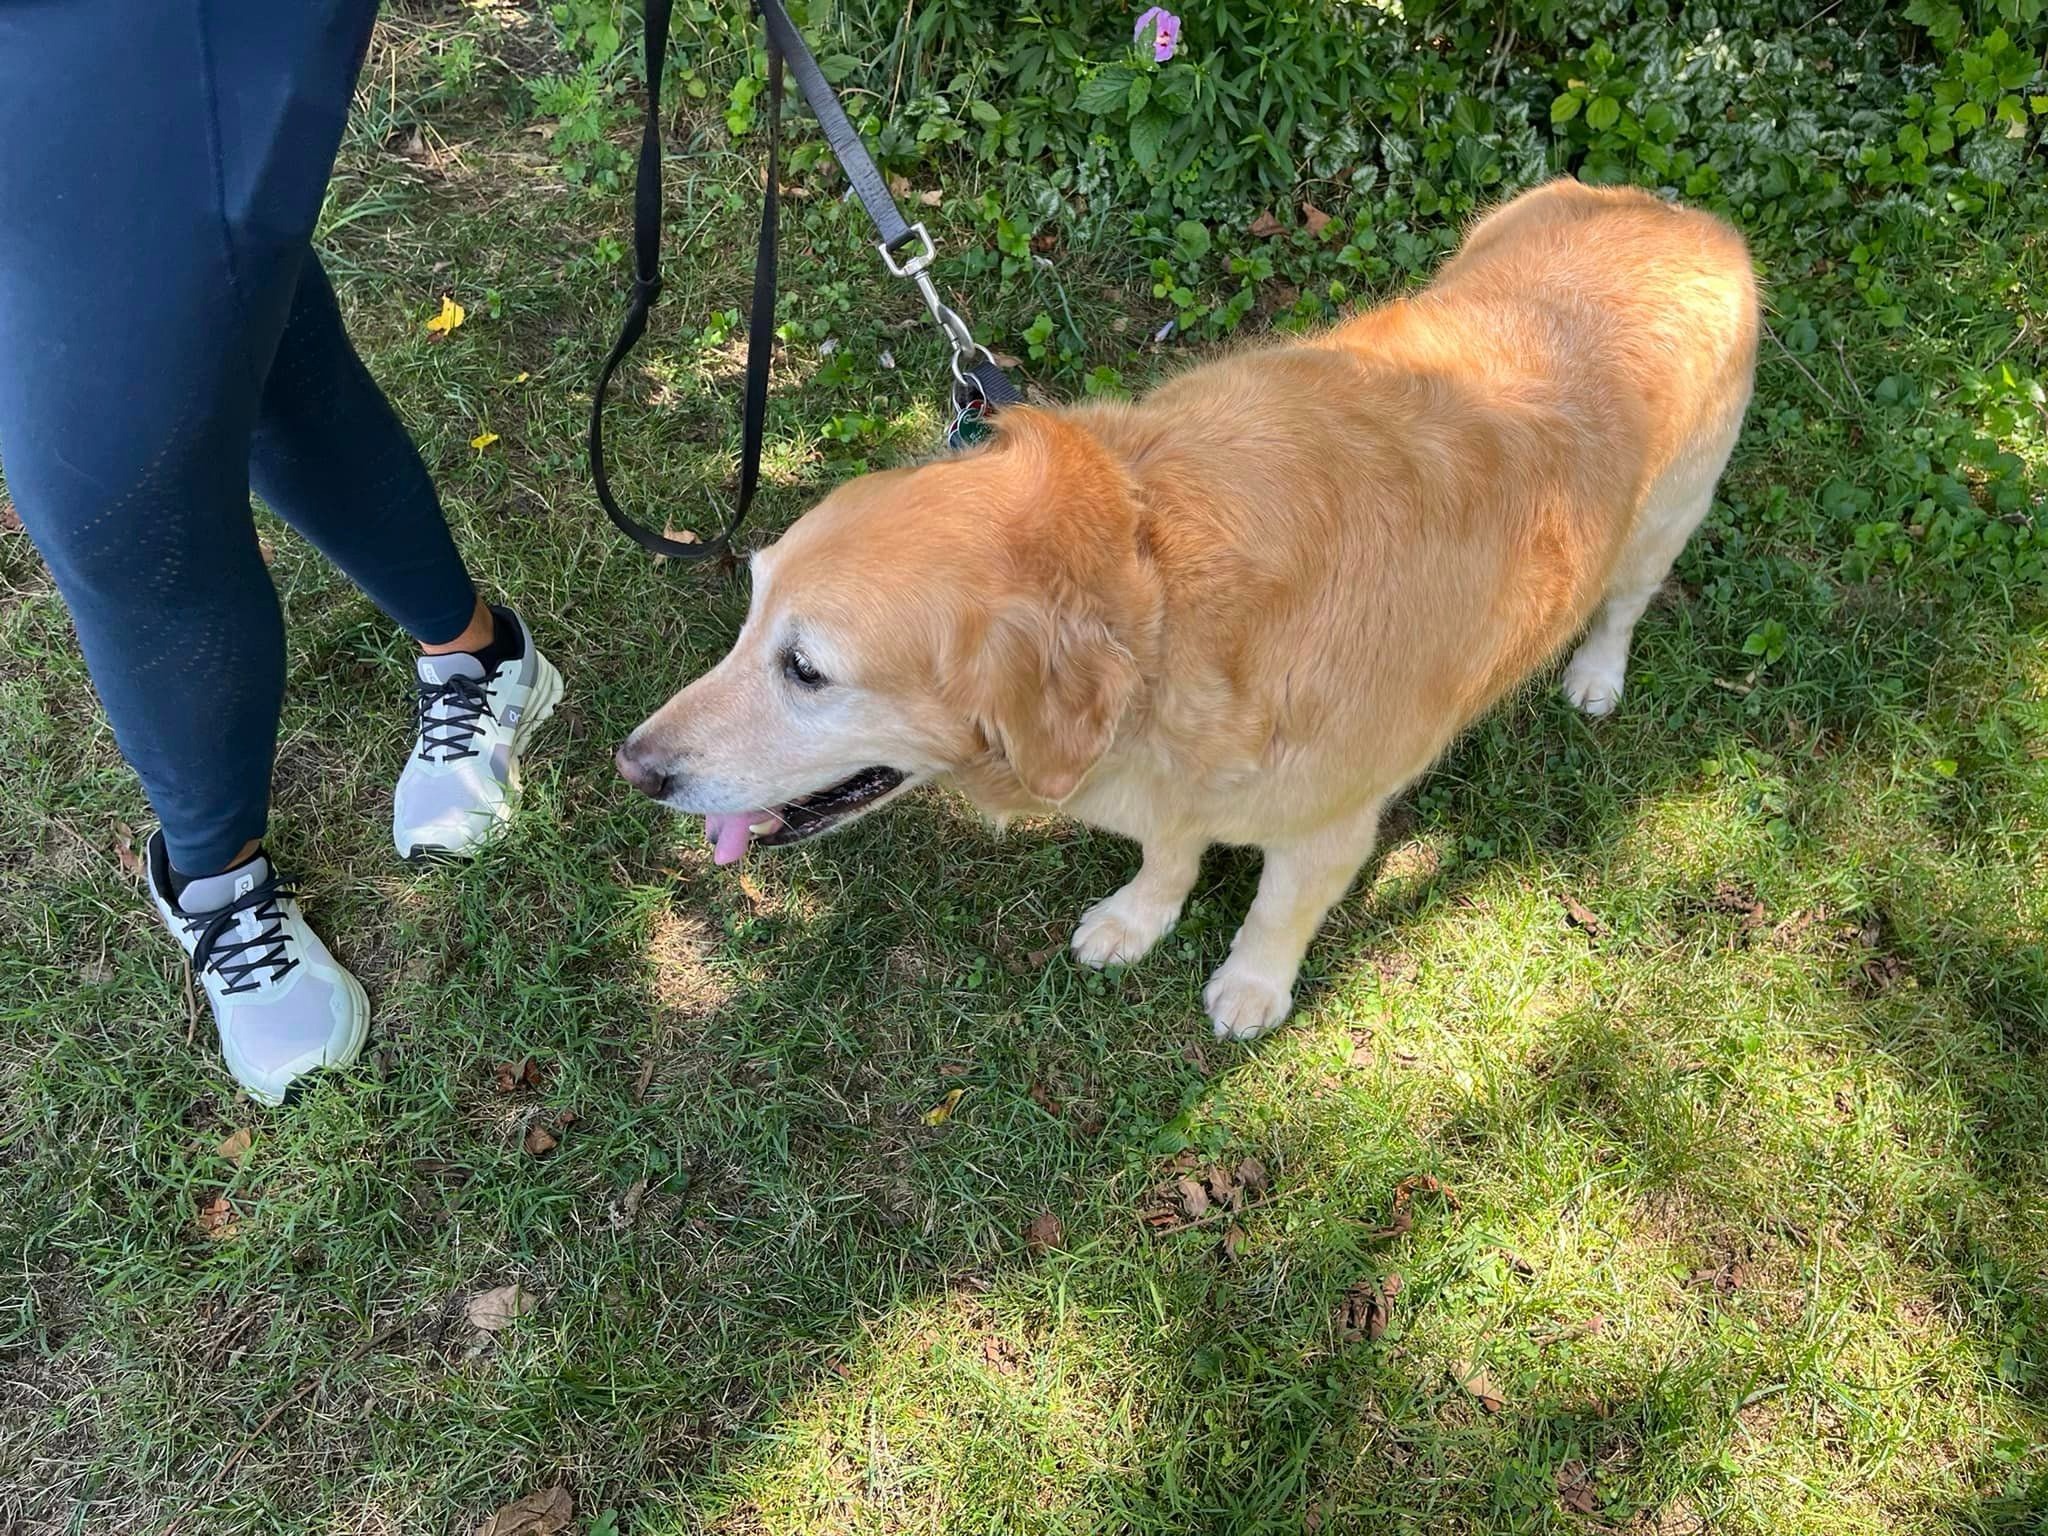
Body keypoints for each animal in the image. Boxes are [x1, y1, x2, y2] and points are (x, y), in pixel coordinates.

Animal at [618, 180, 1761, 1048]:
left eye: (806, 670)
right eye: (749, 615)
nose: (633, 770)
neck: (1160, 589)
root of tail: (1679, 212)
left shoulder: (1329, 824)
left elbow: (1275, 908)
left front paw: (1252, 987)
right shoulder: (1169, 781)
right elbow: (1168, 852)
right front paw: (1138, 919)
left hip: (1666, 516)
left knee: (1624, 603)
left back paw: (1595, 675)